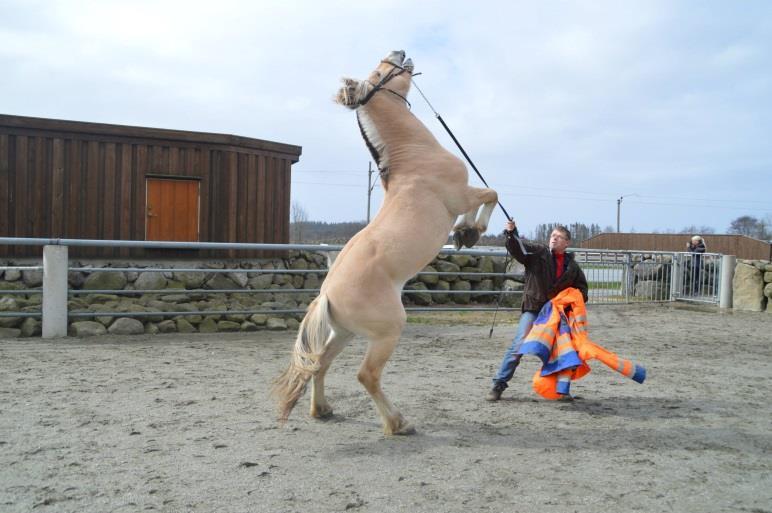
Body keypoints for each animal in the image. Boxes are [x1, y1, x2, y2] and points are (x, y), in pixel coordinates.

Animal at [274, 50, 498, 434]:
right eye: (379, 74)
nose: (398, 54)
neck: (415, 157)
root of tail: (326, 294)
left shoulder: (462, 198)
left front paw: (464, 235)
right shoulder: (461, 195)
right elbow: (491, 194)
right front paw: (471, 232)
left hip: (344, 333)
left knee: (320, 363)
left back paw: (323, 410)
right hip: (387, 332)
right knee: (366, 375)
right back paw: (399, 423)